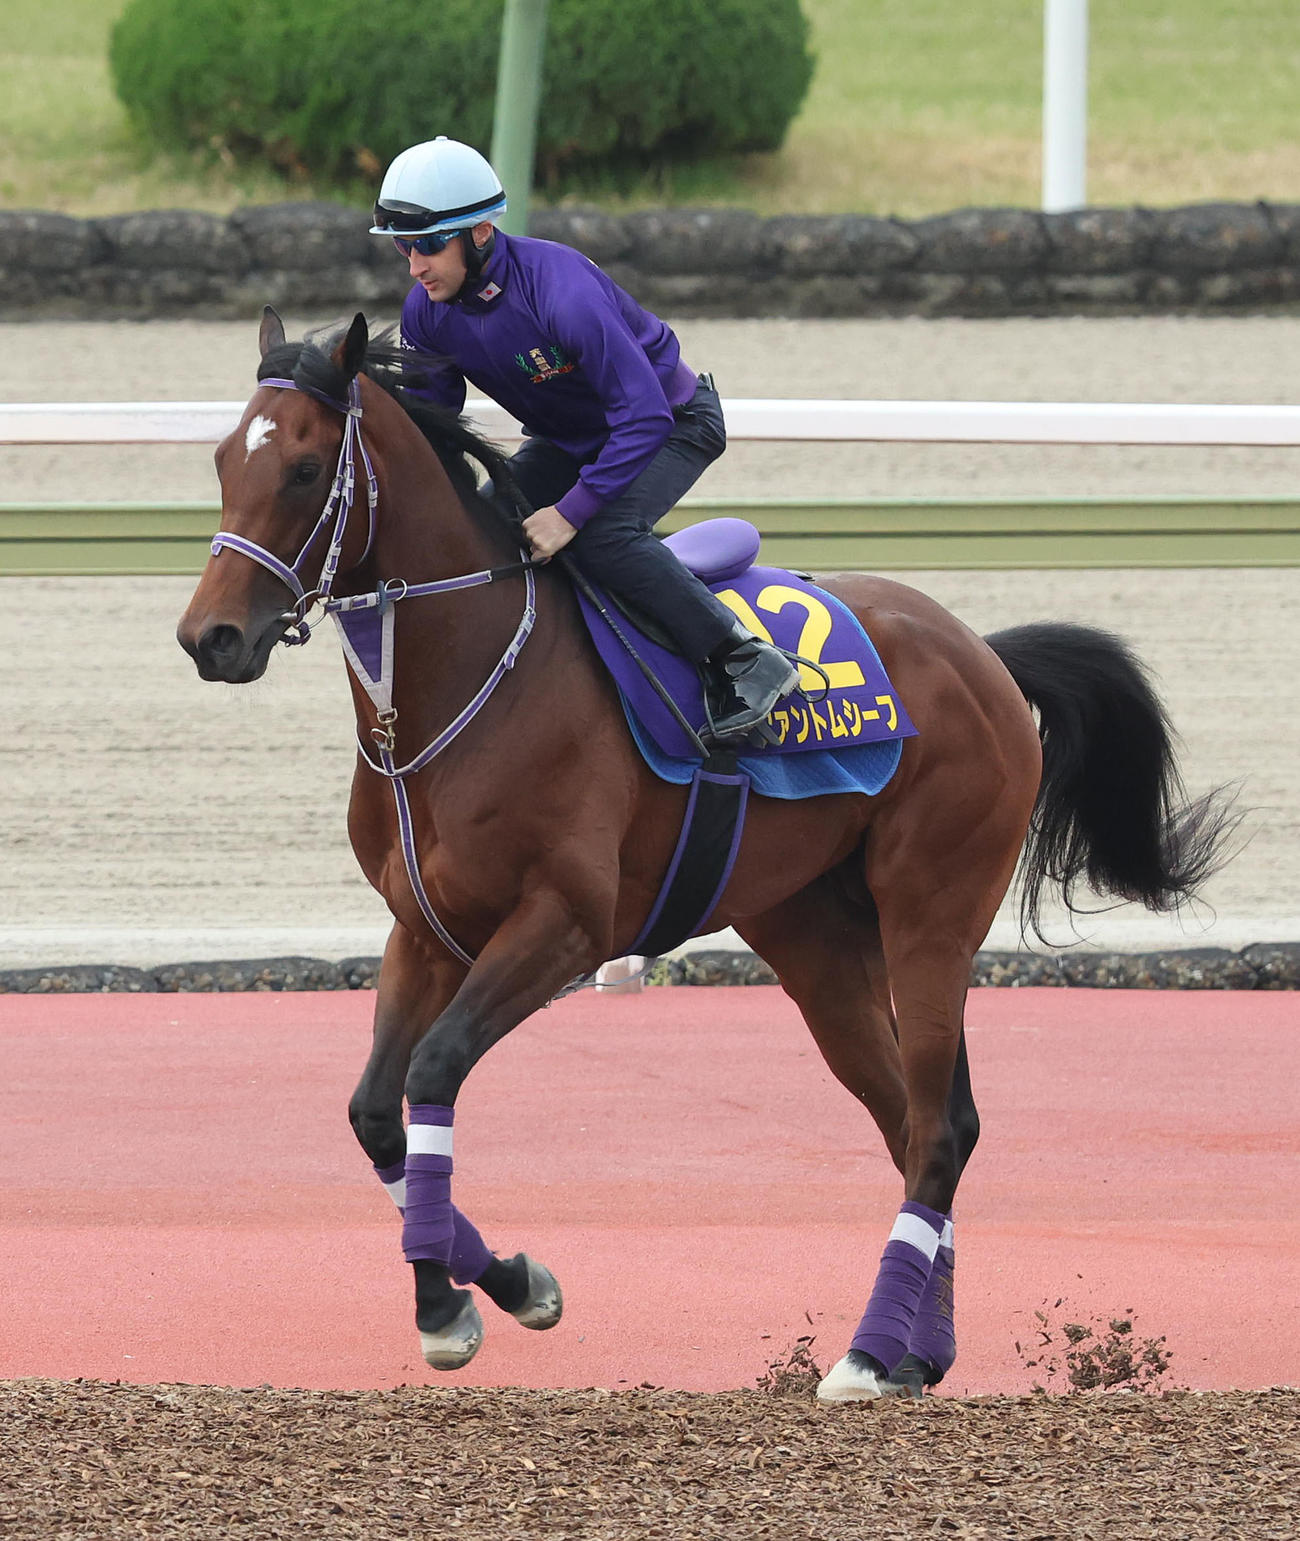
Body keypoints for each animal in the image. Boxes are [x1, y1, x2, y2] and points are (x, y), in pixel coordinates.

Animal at [177, 311, 1236, 1400]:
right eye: (221, 460)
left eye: (305, 469)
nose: (209, 636)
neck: (460, 682)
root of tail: (981, 650)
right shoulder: (424, 929)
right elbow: (375, 1112)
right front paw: (495, 1288)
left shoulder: (565, 925)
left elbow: (433, 1068)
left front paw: (455, 1305)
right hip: (817, 936)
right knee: (918, 1118)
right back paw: (917, 1351)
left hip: (933, 911)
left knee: (938, 1130)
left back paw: (865, 1354)